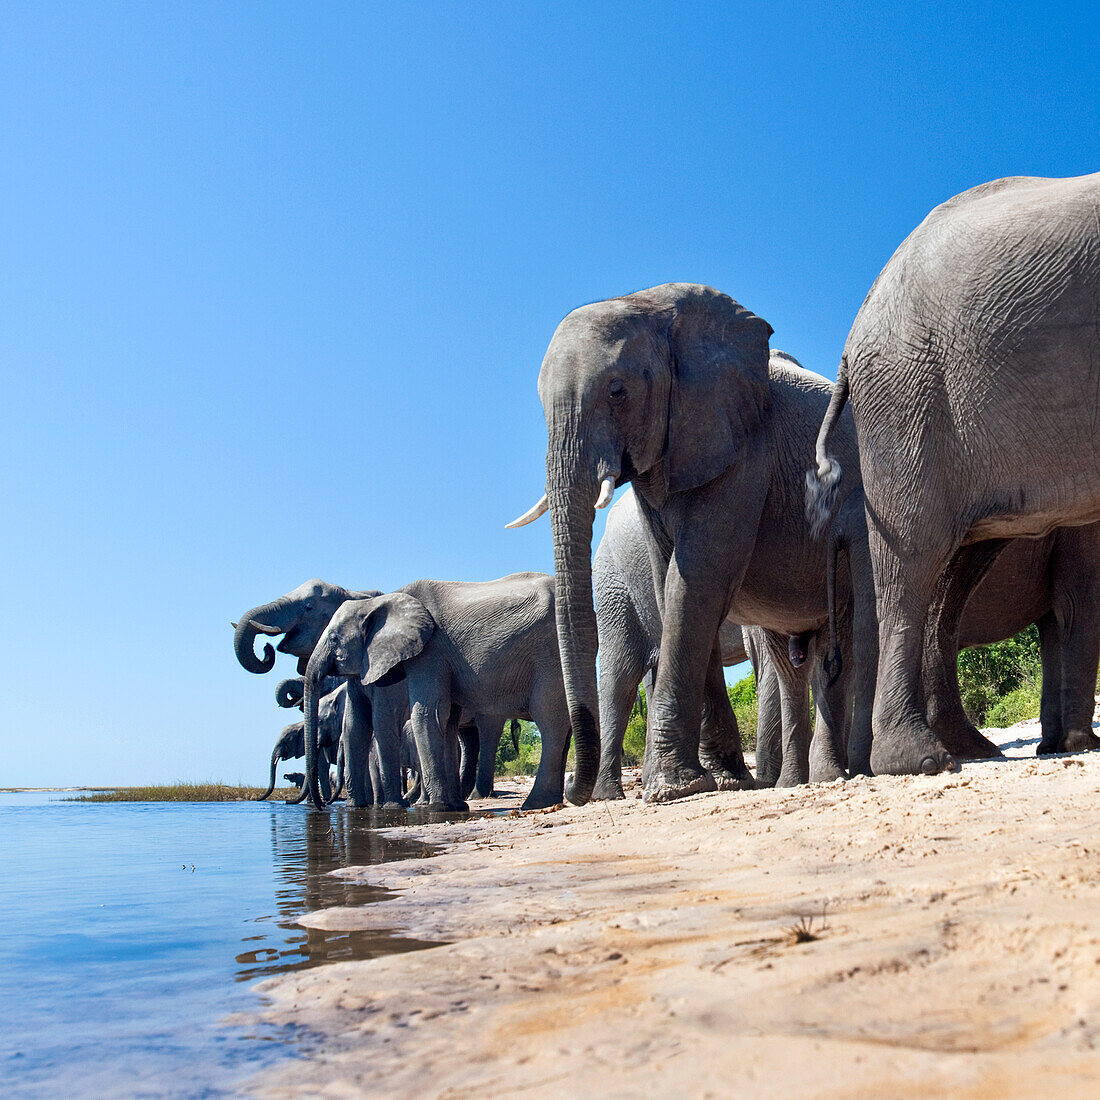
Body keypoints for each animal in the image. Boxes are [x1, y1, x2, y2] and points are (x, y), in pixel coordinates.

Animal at [303, 572, 572, 814]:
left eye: (334, 638)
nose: (321, 807)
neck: (386, 600)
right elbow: (447, 720)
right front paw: (456, 807)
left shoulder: (429, 651)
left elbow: (426, 713)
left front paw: (435, 808)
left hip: (548, 655)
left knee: (549, 720)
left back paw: (534, 803)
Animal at [512, 283, 866, 800]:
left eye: (617, 392)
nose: (570, 792)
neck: (654, 306)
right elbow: (675, 584)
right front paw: (716, 781)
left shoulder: (746, 450)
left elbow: (696, 580)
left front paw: (679, 788)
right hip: (617, 587)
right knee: (627, 675)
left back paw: (820, 777)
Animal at [809, 169, 1100, 774]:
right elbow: (1080, 600)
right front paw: (1078, 744)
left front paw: (1066, 744)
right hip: (906, 399)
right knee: (912, 563)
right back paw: (919, 760)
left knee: (952, 570)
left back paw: (963, 748)